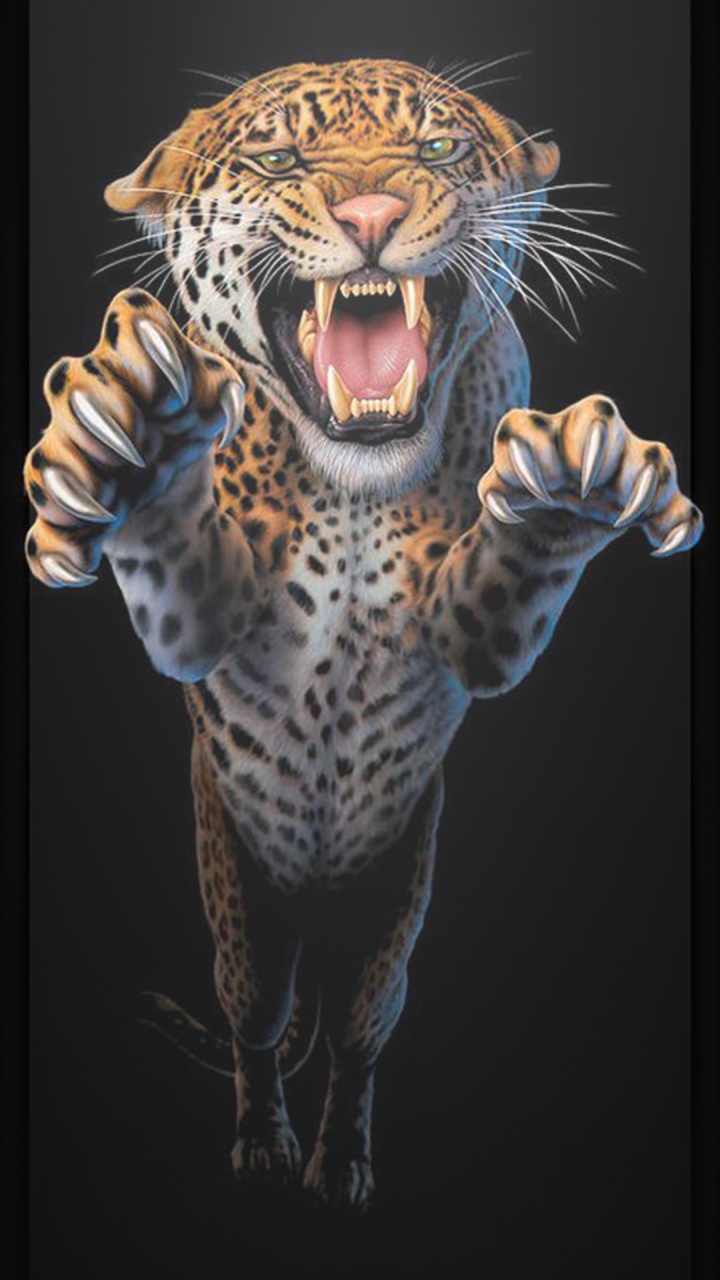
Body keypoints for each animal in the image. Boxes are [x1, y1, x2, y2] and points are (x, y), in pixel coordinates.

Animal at [23, 57, 702, 1210]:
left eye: (437, 150)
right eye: (278, 156)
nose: (372, 215)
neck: (354, 490)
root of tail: (315, 900)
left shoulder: (475, 631)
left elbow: (509, 584)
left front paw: (575, 480)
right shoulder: (206, 616)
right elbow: (172, 562)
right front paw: (136, 439)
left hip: (395, 913)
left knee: (356, 1038)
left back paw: (341, 1162)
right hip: (240, 909)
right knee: (257, 1030)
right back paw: (262, 1145)